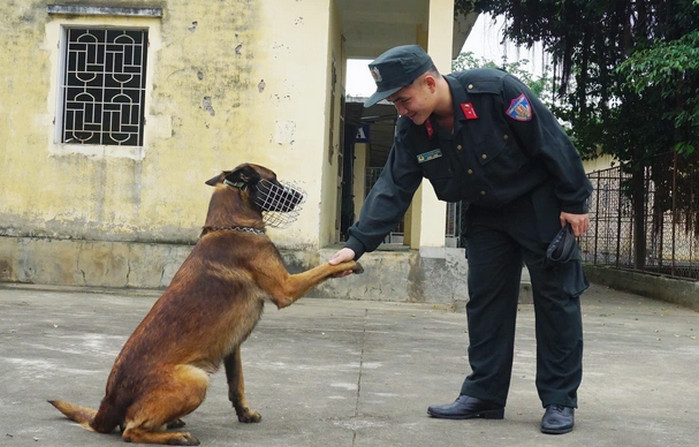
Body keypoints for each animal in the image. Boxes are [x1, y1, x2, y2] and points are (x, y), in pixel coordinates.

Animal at [50, 164, 360, 444]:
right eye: (273, 180)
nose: (300, 196)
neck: (230, 225)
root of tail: (108, 404)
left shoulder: (232, 347)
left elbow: (237, 385)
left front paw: (245, 413)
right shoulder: (286, 287)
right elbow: (324, 268)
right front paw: (350, 262)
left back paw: (172, 423)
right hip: (196, 379)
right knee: (130, 431)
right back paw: (177, 436)